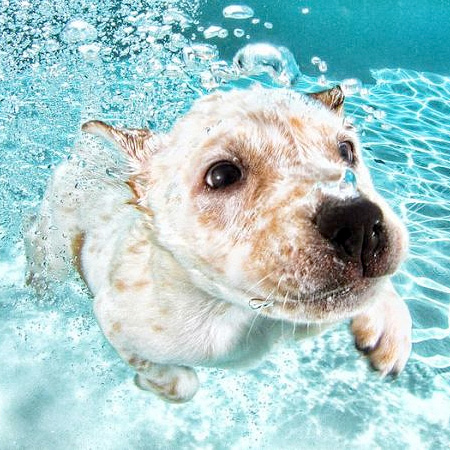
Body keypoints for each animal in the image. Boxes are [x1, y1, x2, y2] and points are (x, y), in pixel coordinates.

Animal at [28, 86, 414, 402]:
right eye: (221, 175)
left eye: (346, 150)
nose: (358, 221)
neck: (248, 315)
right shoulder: (114, 318)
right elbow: (180, 383)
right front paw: (158, 385)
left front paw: (388, 325)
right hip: (55, 239)